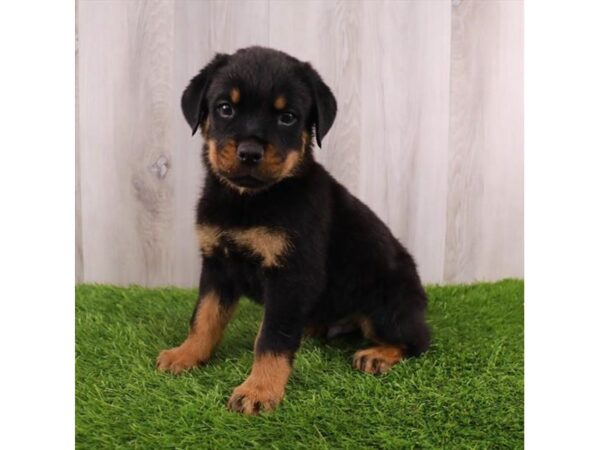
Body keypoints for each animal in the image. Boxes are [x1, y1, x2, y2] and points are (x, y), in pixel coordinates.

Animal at [157, 45, 428, 414]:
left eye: (287, 117)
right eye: (225, 108)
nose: (250, 152)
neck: (249, 202)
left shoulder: (290, 276)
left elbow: (272, 337)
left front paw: (259, 390)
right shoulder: (217, 265)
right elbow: (204, 317)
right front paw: (186, 355)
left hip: (387, 303)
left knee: (418, 340)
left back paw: (378, 355)